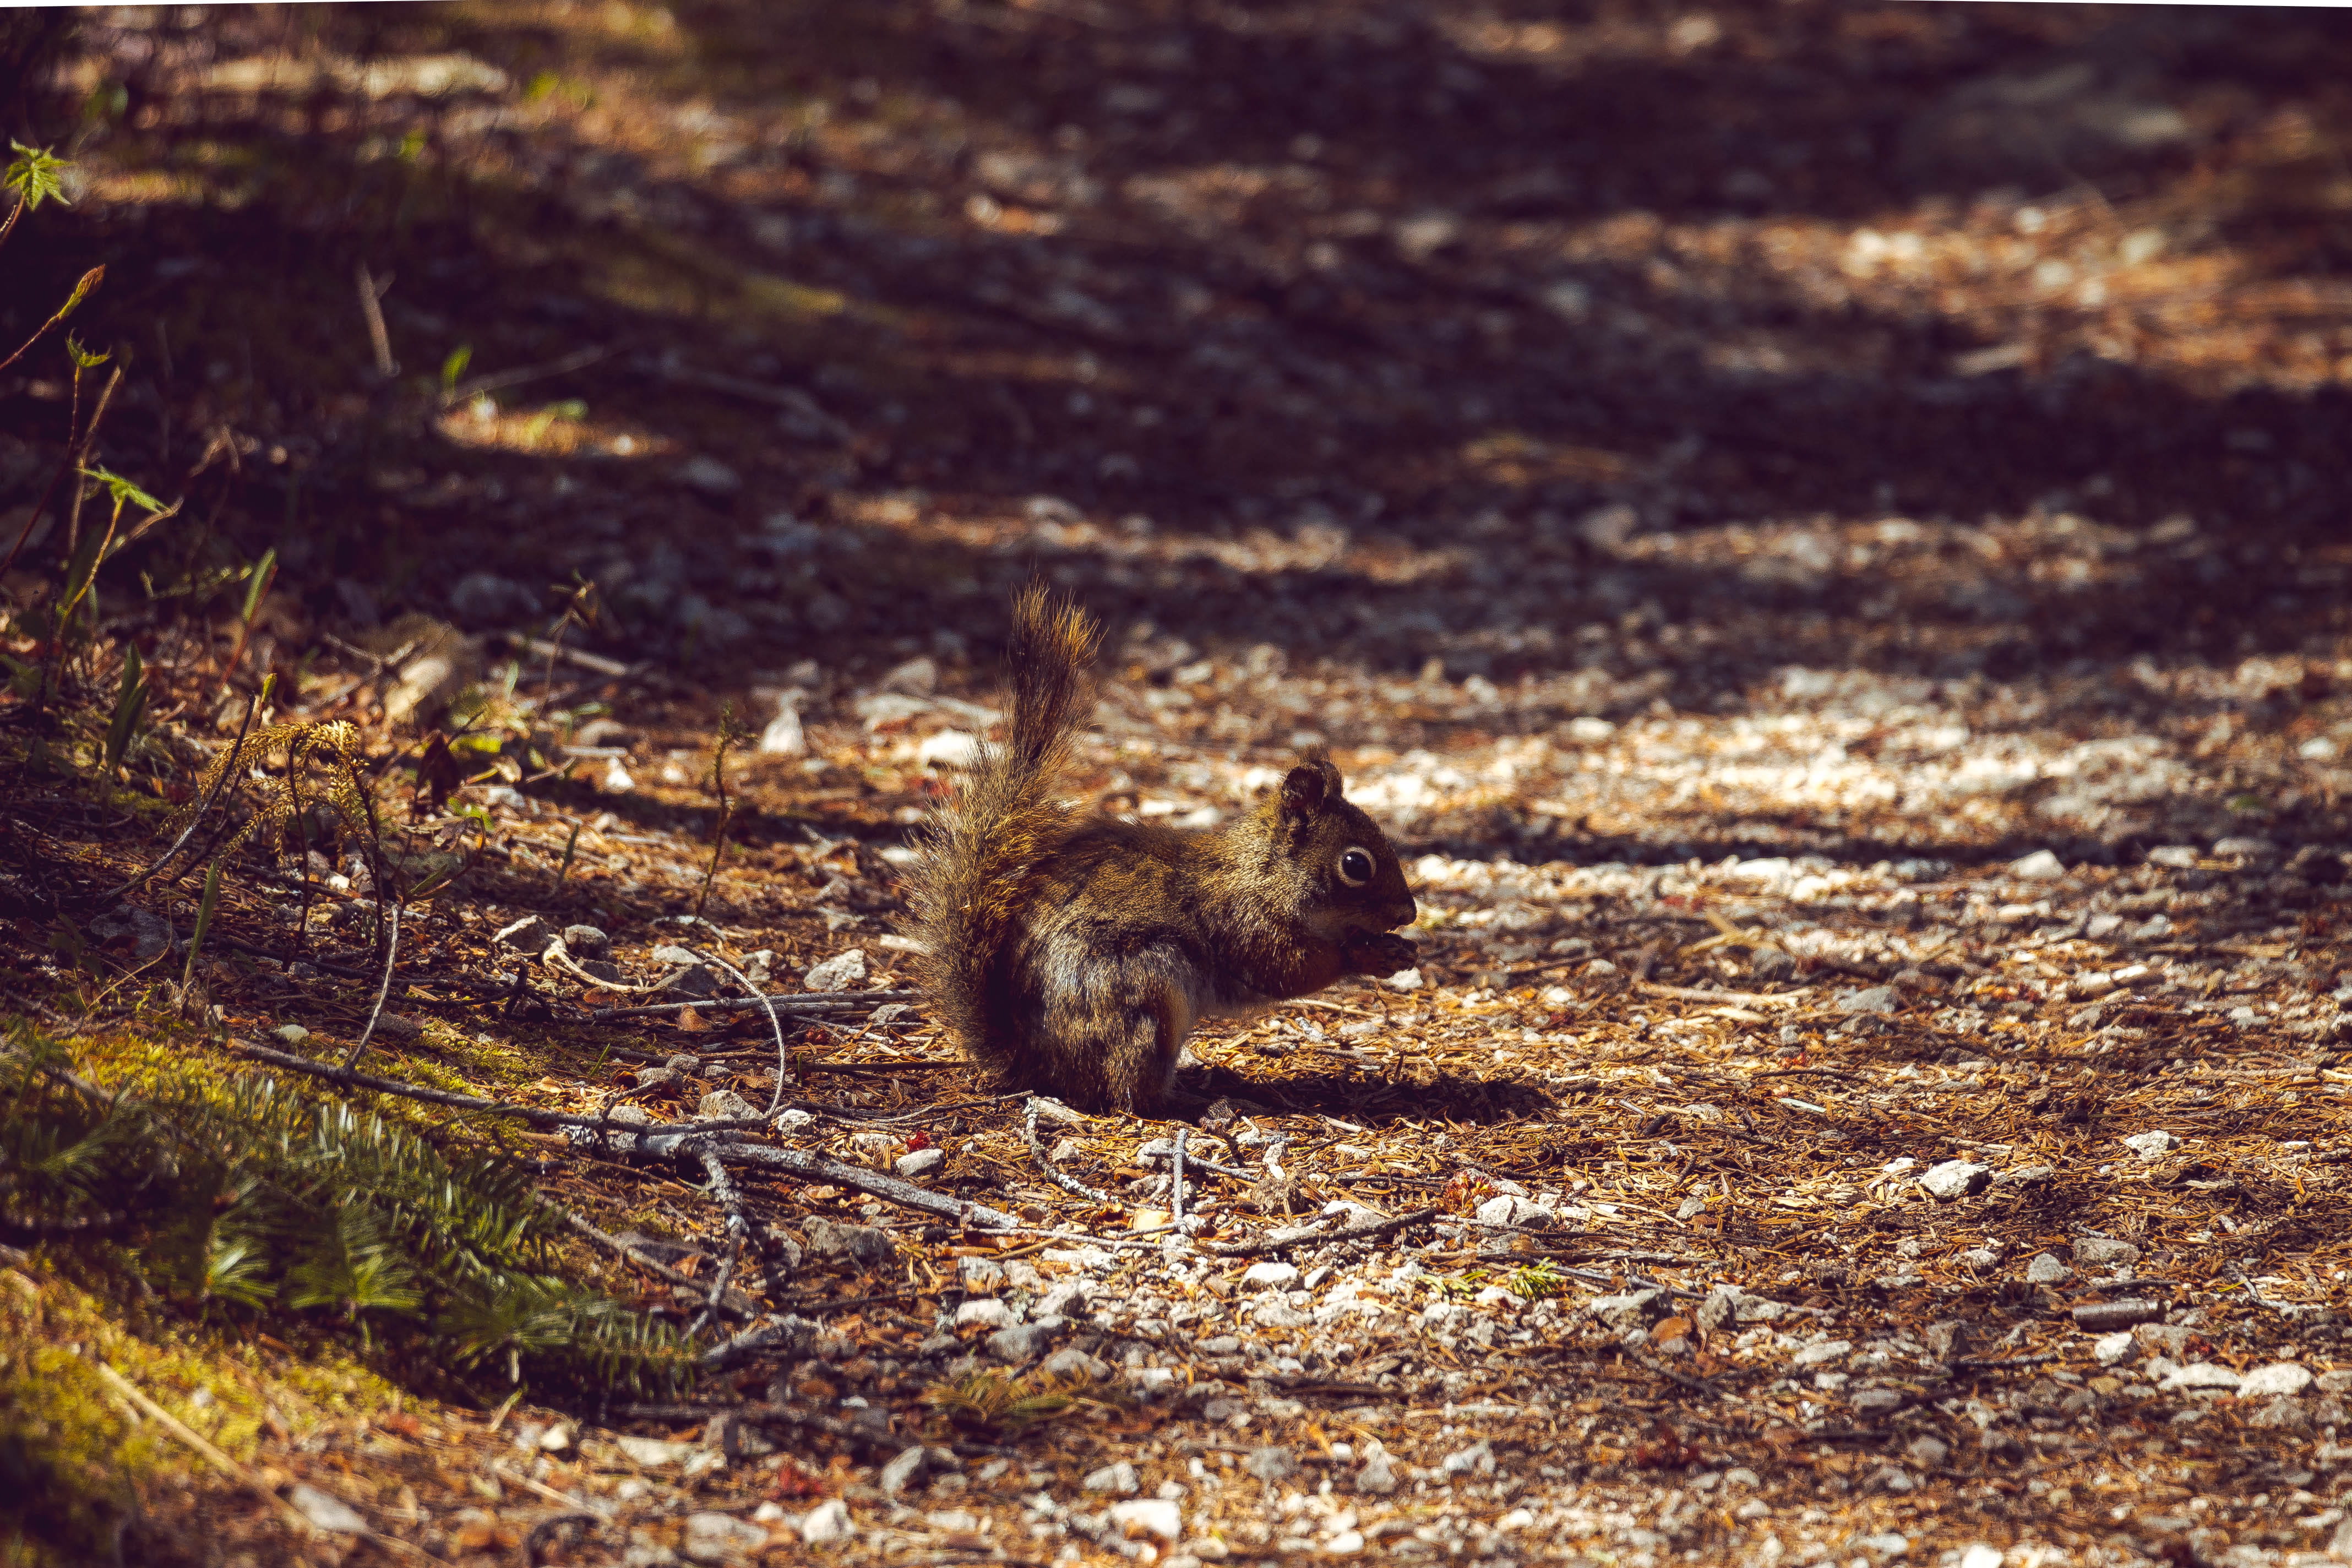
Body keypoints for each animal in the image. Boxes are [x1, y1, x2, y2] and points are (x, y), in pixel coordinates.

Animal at [906, 585, 1419, 1114]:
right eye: (1356, 864)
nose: (1409, 914)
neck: (1265, 873)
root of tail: (1032, 1064)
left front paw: (1396, 950)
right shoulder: (1246, 924)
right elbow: (1289, 968)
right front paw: (1367, 956)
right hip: (1146, 989)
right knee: (1128, 1093)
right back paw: (1189, 1101)